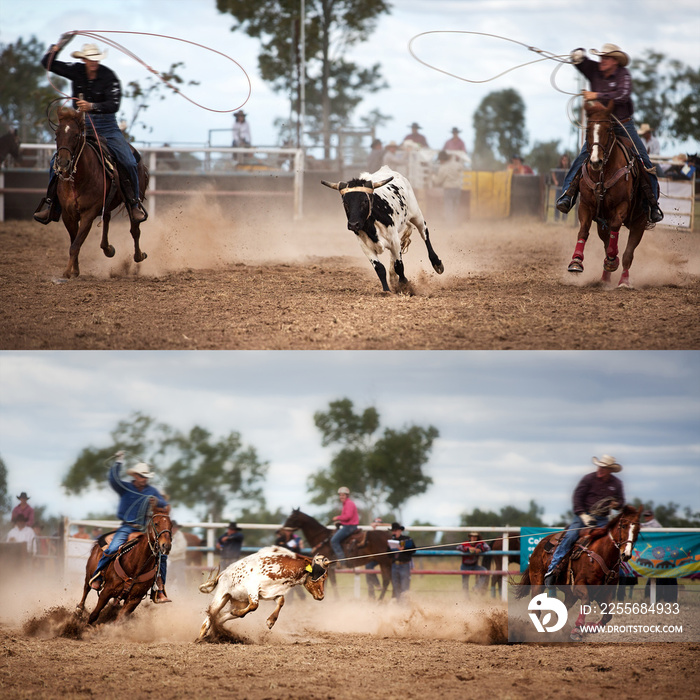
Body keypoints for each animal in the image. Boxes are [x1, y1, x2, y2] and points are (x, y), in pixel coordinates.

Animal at [53, 105, 149, 278]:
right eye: (57, 134)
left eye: (76, 135)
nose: (63, 163)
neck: (78, 180)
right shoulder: (67, 214)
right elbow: (74, 241)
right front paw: (74, 270)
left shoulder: (88, 213)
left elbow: (75, 244)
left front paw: (67, 272)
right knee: (107, 218)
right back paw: (108, 249)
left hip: (132, 202)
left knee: (135, 229)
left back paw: (138, 256)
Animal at [516, 504, 644, 640]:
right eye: (623, 526)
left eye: (638, 530)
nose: (626, 554)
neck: (602, 555)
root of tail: (540, 544)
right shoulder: (580, 586)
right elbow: (586, 601)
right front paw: (577, 630)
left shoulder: (604, 592)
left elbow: (608, 615)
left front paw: (590, 628)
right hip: (537, 581)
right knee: (536, 610)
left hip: (569, 593)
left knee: (560, 611)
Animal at [568, 100, 648, 286]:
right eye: (588, 130)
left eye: (608, 130)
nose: (595, 161)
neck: (602, 175)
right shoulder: (586, 205)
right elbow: (583, 230)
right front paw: (576, 261)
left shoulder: (621, 206)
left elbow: (616, 229)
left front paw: (613, 260)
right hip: (602, 224)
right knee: (607, 242)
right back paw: (605, 278)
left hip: (639, 222)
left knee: (628, 254)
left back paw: (623, 280)